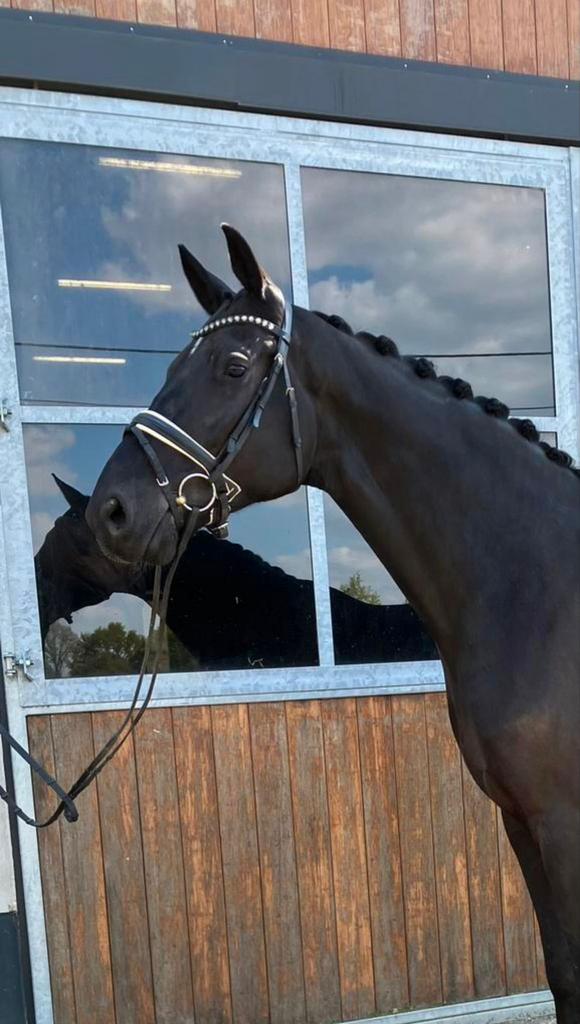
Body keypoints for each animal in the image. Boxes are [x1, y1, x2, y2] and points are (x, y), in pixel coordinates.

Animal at [86, 224, 580, 1021]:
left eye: (232, 366)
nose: (113, 512)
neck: (538, 590)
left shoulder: (564, 822)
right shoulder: (521, 820)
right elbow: (562, 969)